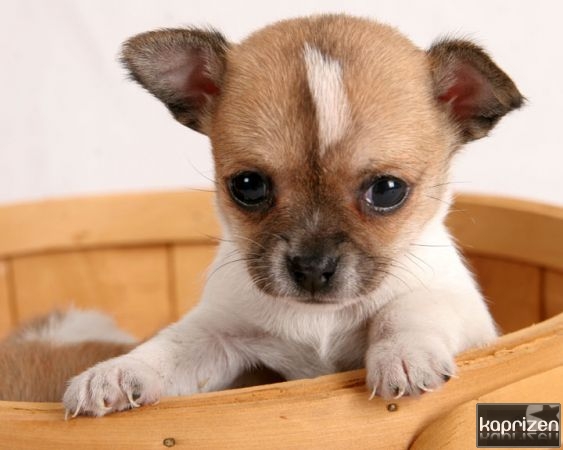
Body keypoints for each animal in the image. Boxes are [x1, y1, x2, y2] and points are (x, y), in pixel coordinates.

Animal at [58, 14, 522, 416]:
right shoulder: (217, 333)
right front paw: (119, 371)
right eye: (247, 186)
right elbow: (172, 348)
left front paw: (402, 355)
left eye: (388, 190)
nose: (312, 268)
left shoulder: (456, 304)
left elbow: (406, 310)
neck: (320, 319)